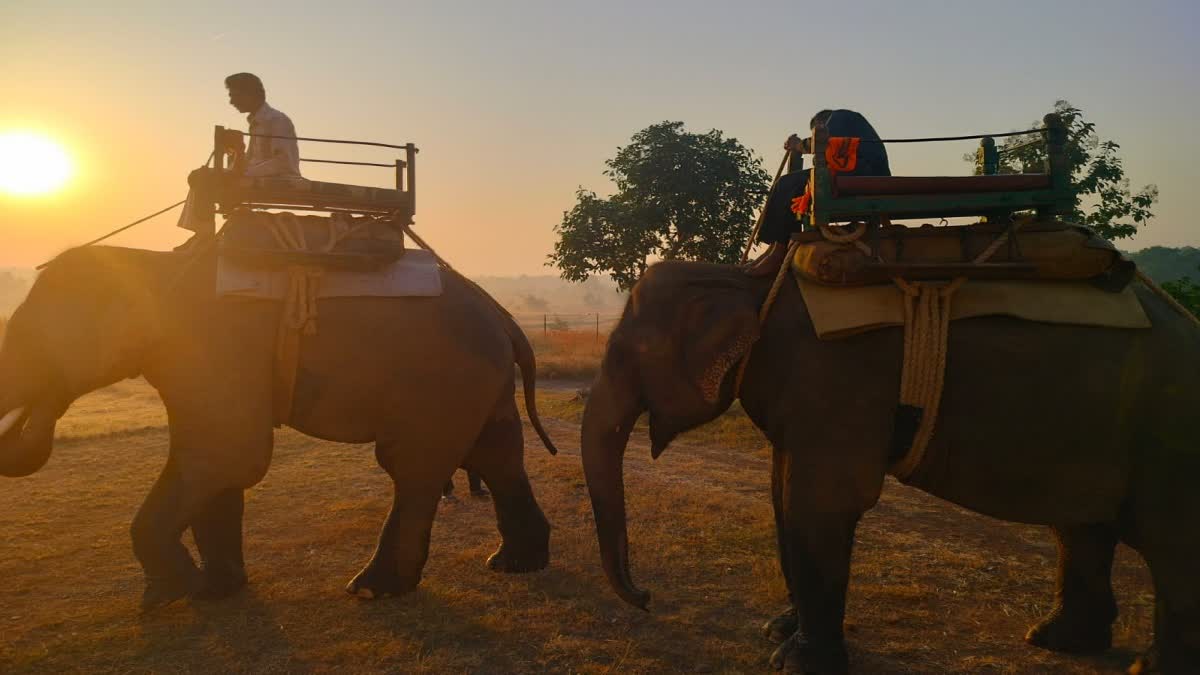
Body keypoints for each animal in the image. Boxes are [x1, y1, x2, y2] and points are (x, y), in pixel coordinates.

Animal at [0, 243, 556, 607]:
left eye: (26, 337)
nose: (28, 418)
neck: (150, 262)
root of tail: (504, 318)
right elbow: (218, 464)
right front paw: (215, 592)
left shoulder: (214, 348)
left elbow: (229, 454)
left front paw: (172, 593)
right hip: (479, 382)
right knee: (496, 455)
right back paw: (513, 564)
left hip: (440, 381)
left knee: (413, 468)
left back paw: (373, 589)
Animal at [580, 260, 1200, 672]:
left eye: (627, 356)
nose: (646, 598)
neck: (747, 277)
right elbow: (784, 498)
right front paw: (779, 630)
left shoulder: (838, 376)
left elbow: (820, 504)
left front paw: (795, 661)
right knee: (1081, 526)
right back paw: (1054, 640)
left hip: (1169, 433)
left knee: (1168, 543)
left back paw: (1149, 667)